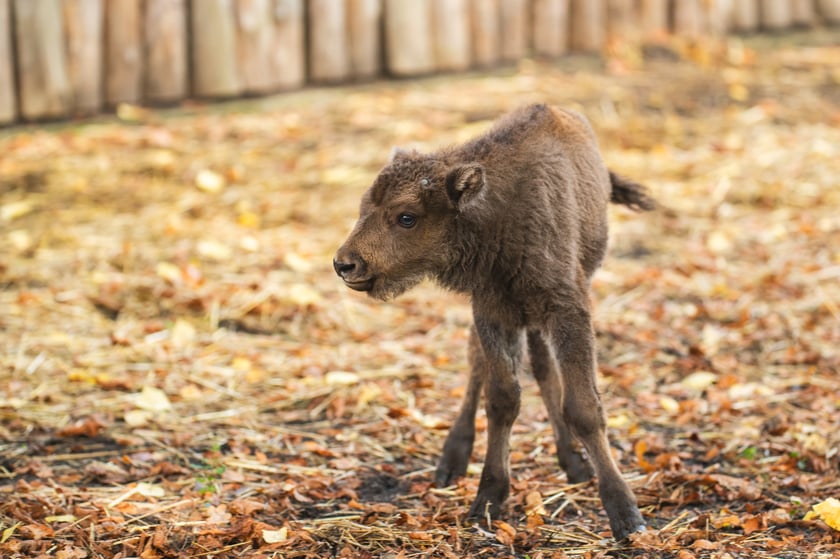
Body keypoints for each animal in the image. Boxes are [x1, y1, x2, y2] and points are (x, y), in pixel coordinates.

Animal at [332, 103, 652, 540]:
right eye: (364, 207)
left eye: (407, 217)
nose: (345, 264)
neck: (497, 211)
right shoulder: (491, 311)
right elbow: (501, 399)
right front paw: (488, 498)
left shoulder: (565, 310)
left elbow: (583, 408)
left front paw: (626, 515)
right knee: (481, 366)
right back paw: (452, 461)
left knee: (542, 369)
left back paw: (572, 461)